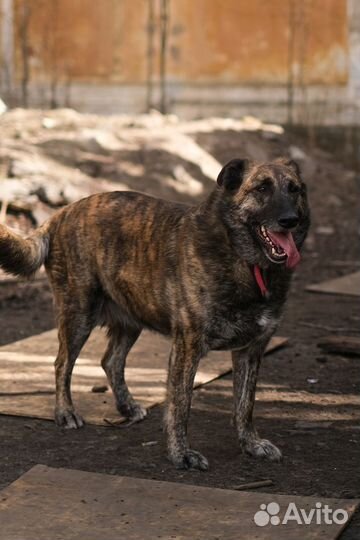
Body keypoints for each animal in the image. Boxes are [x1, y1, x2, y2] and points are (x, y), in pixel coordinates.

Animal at [0, 156, 310, 468]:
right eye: (261, 188)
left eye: (294, 189)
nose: (289, 220)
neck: (247, 263)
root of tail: (61, 214)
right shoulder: (187, 347)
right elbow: (180, 406)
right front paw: (180, 454)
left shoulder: (251, 351)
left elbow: (245, 405)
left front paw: (251, 444)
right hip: (78, 314)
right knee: (62, 363)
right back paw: (65, 412)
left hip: (131, 316)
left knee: (110, 361)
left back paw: (126, 406)